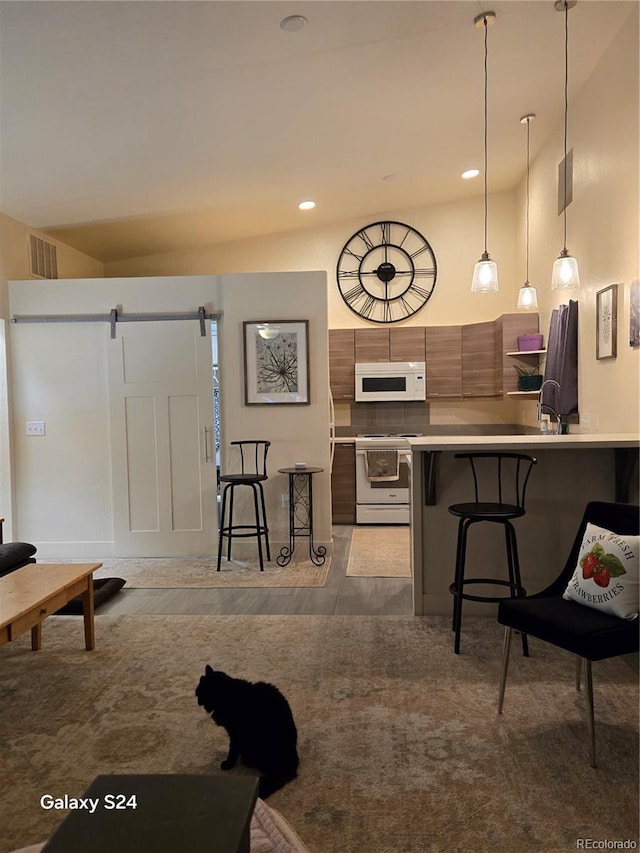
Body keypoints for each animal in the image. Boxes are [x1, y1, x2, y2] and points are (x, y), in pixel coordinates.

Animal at [196, 664, 298, 796]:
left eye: (200, 692)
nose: (197, 700)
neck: (227, 696)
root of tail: (292, 764)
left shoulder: (235, 734)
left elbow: (232, 751)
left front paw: (228, 764)